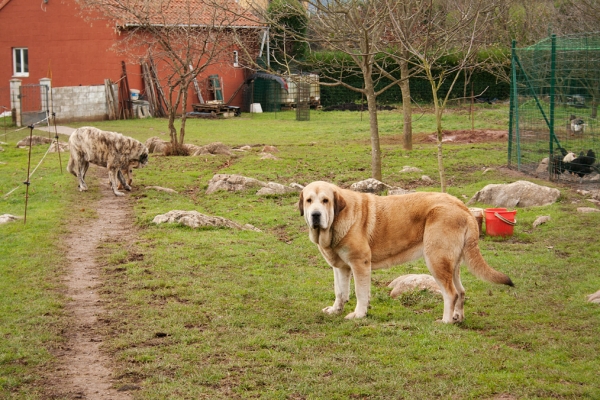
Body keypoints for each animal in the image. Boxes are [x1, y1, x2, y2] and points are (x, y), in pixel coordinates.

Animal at [298, 183, 512, 324]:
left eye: (325, 201)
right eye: (309, 201)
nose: (315, 215)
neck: (337, 220)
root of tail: (462, 207)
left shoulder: (360, 264)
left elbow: (360, 292)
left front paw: (358, 315)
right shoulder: (341, 267)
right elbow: (340, 292)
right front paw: (336, 310)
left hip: (436, 260)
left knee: (450, 293)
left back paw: (445, 321)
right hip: (451, 265)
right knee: (461, 291)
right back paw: (457, 317)